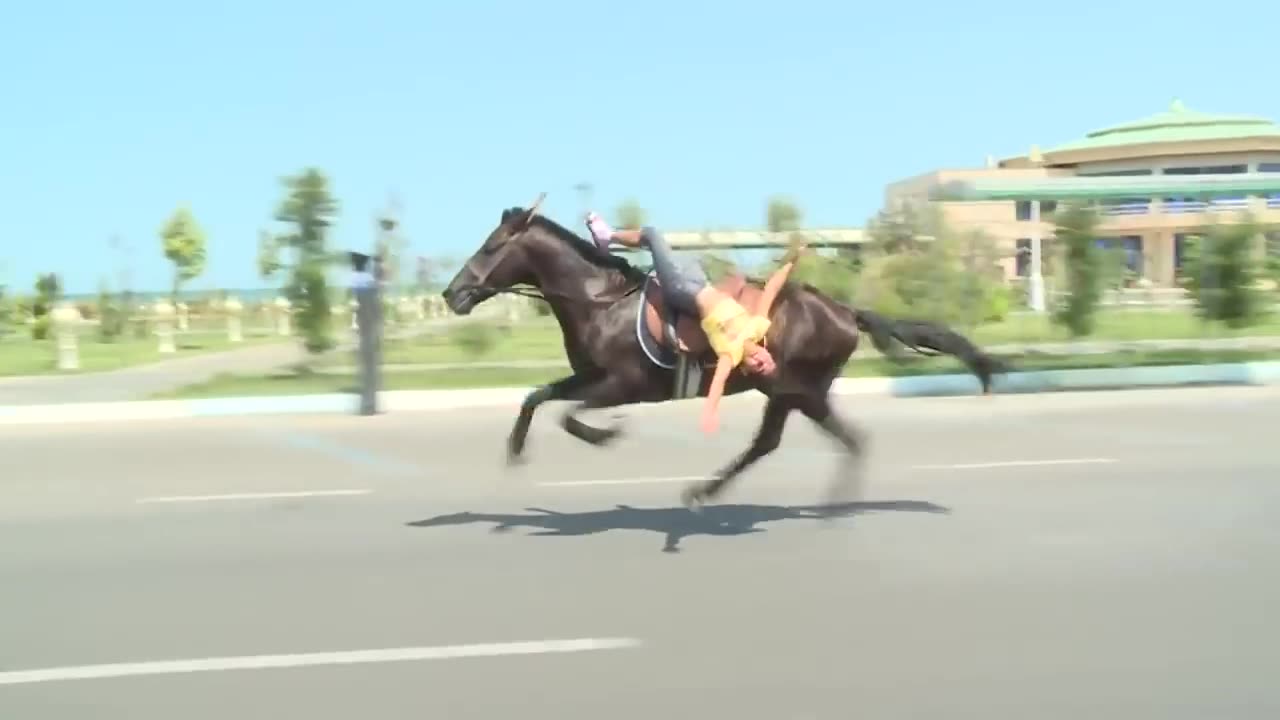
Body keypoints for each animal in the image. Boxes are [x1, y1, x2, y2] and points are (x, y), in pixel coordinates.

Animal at [442, 198, 1008, 507]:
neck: (601, 300)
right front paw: (516, 449)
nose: (452, 293)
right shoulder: (589, 376)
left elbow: (571, 416)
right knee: (812, 442)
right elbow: (537, 397)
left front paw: (608, 435)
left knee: (803, 441)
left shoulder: (626, 384)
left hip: (794, 386)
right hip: (793, 390)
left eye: (490, 247)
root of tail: (845, 311)